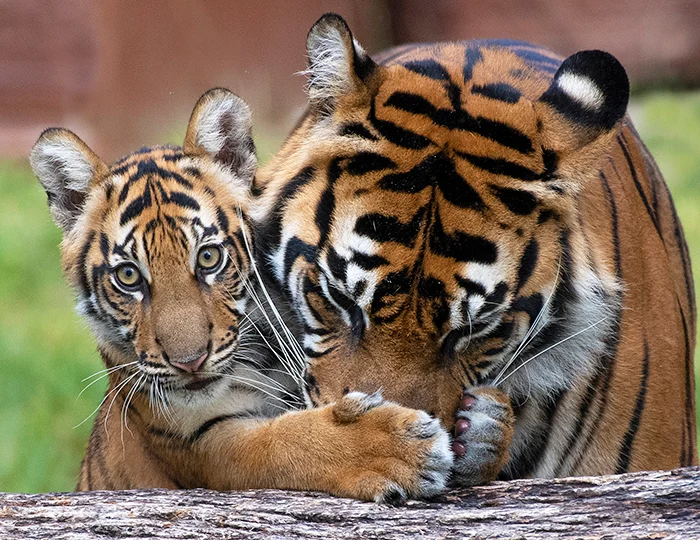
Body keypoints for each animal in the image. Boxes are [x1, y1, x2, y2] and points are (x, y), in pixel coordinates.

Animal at [30, 87, 454, 501]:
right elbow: (285, 444)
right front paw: (404, 448)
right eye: (129, 276)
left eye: (208, 257)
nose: (189, 363)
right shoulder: (203, 442)